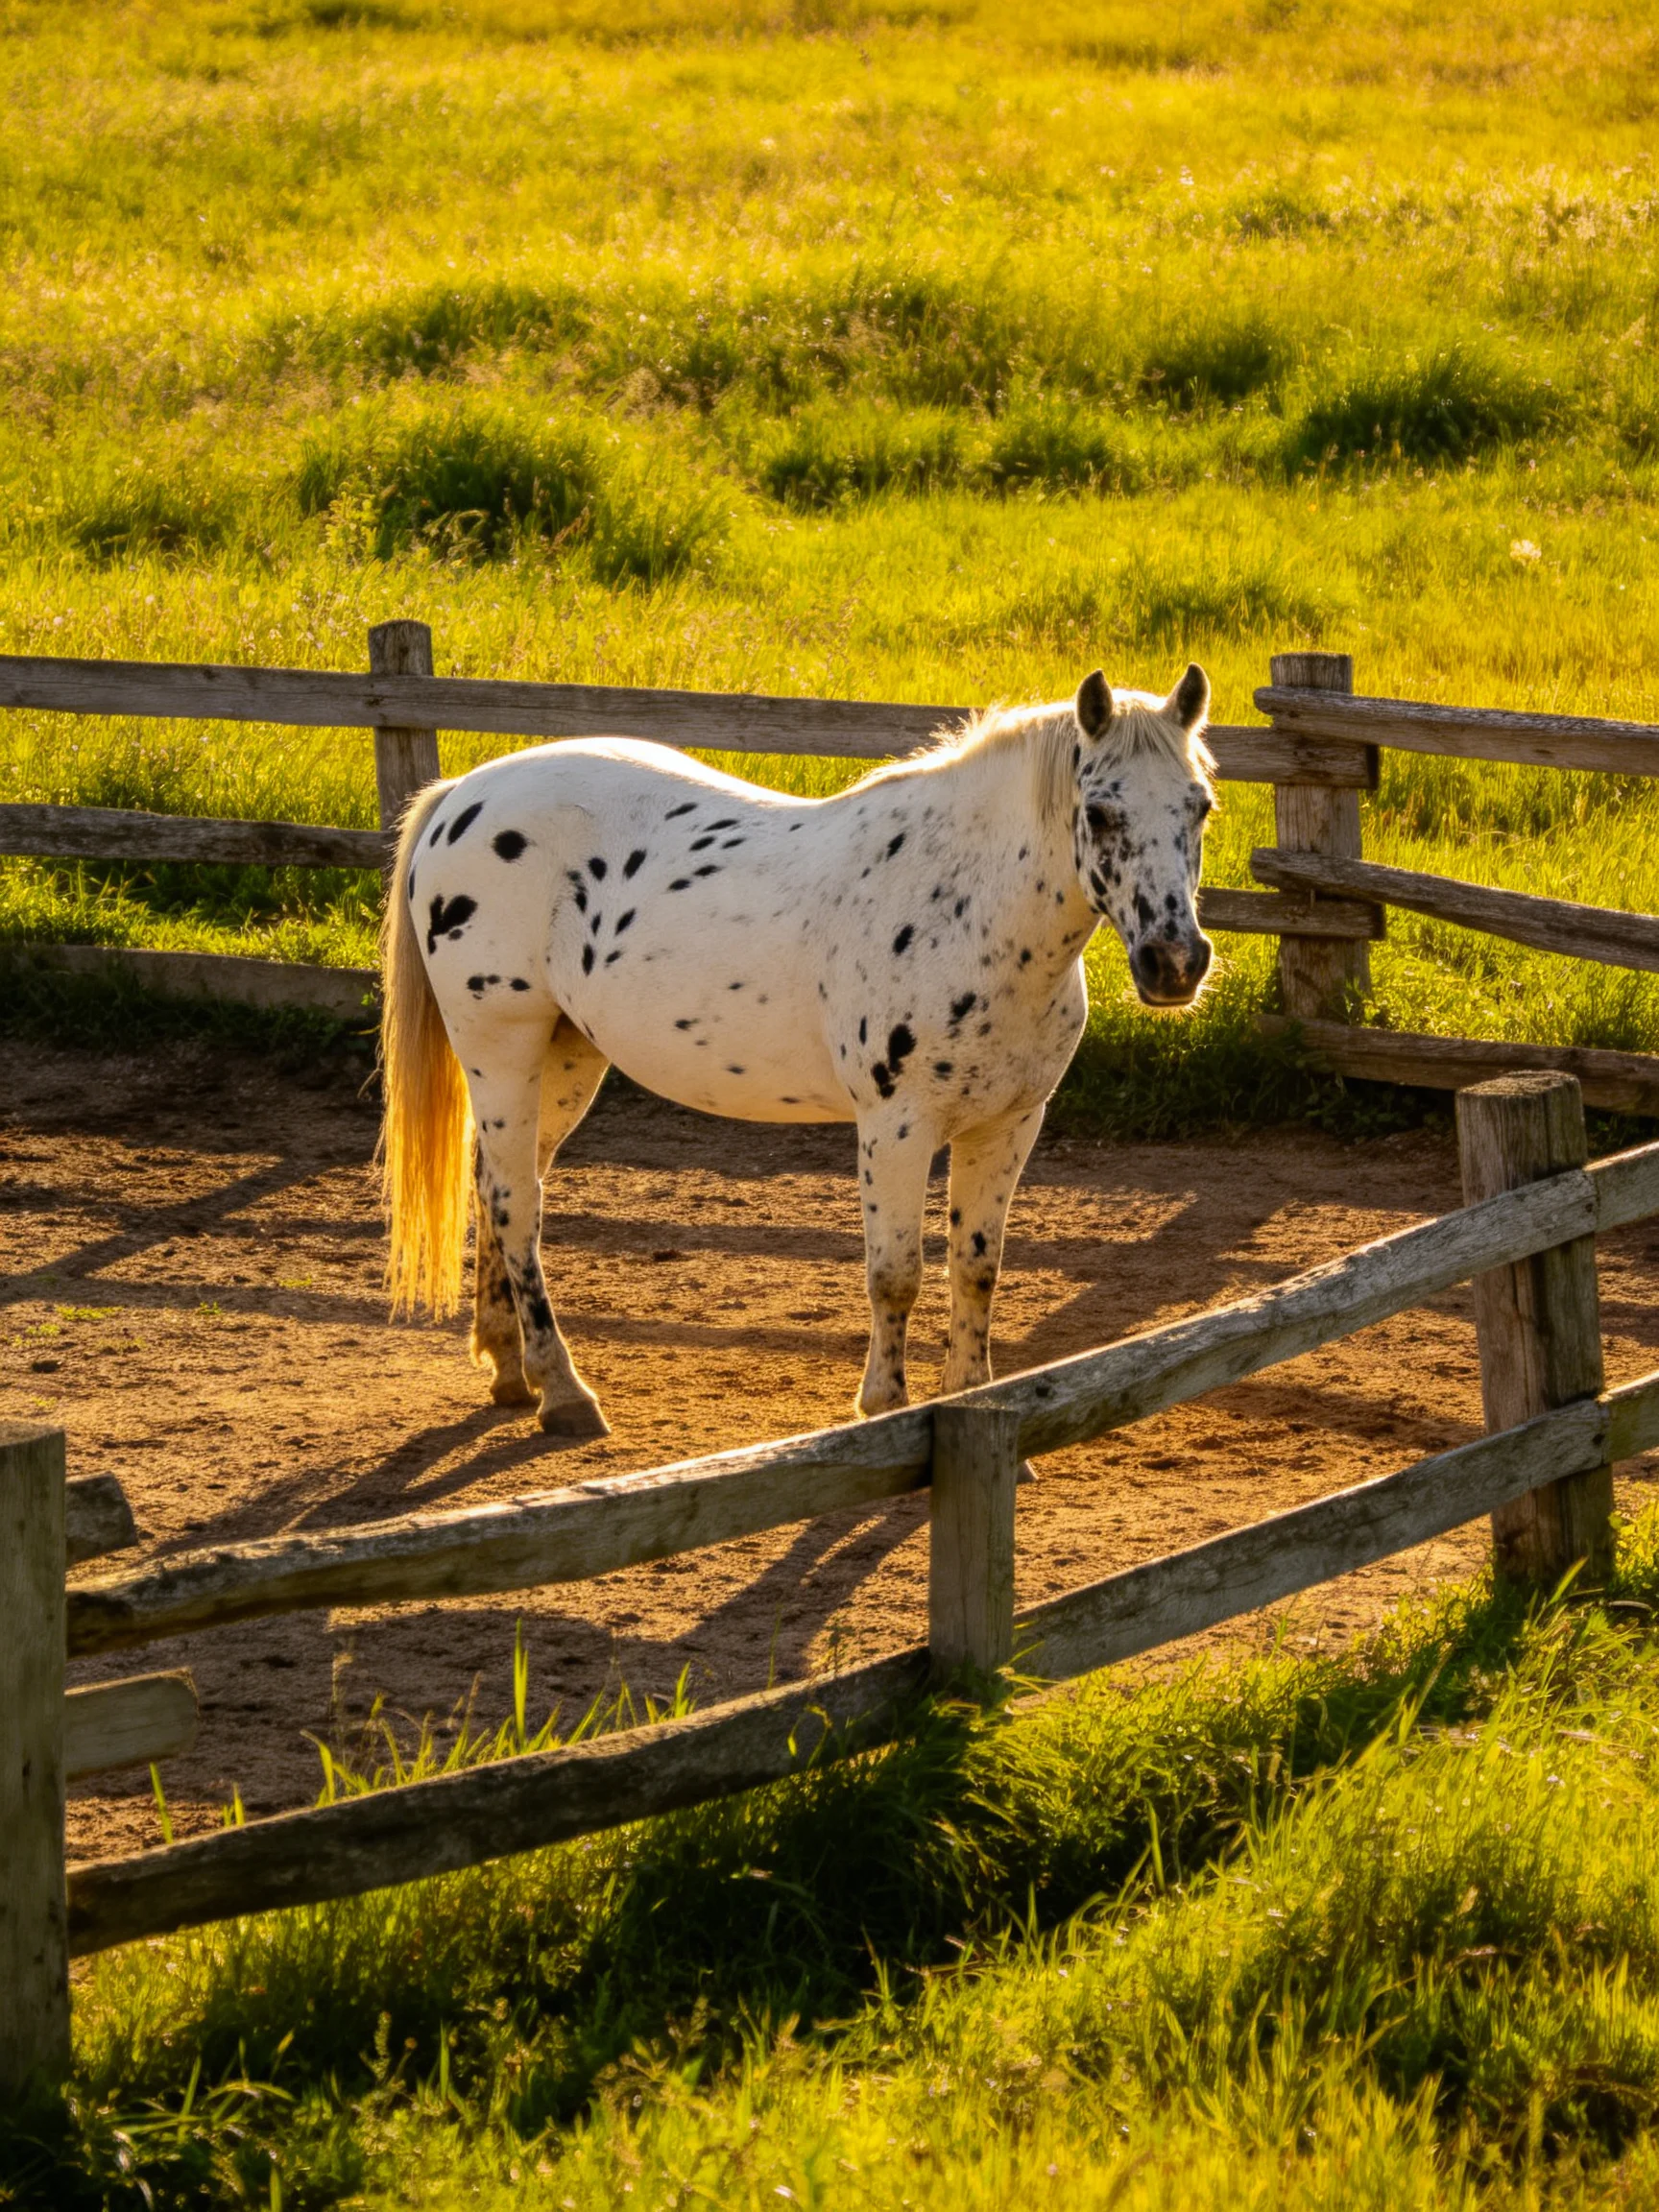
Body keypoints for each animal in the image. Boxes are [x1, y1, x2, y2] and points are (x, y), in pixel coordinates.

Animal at [379, 663, 1217, 1438]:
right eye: (1101, 812)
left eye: (1201, 805)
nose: (1174, 962)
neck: (966, 908)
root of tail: (462, 795)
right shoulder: (897, 1127)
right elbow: (896, 1275)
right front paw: (883, 1409)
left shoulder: (1008, 1125)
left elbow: (976, 1268)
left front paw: (973, 1403)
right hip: (502, 1049)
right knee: (516, 1204)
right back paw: (563, 1391)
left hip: (565, 1057)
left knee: (497, 1185)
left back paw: (508, 1367)